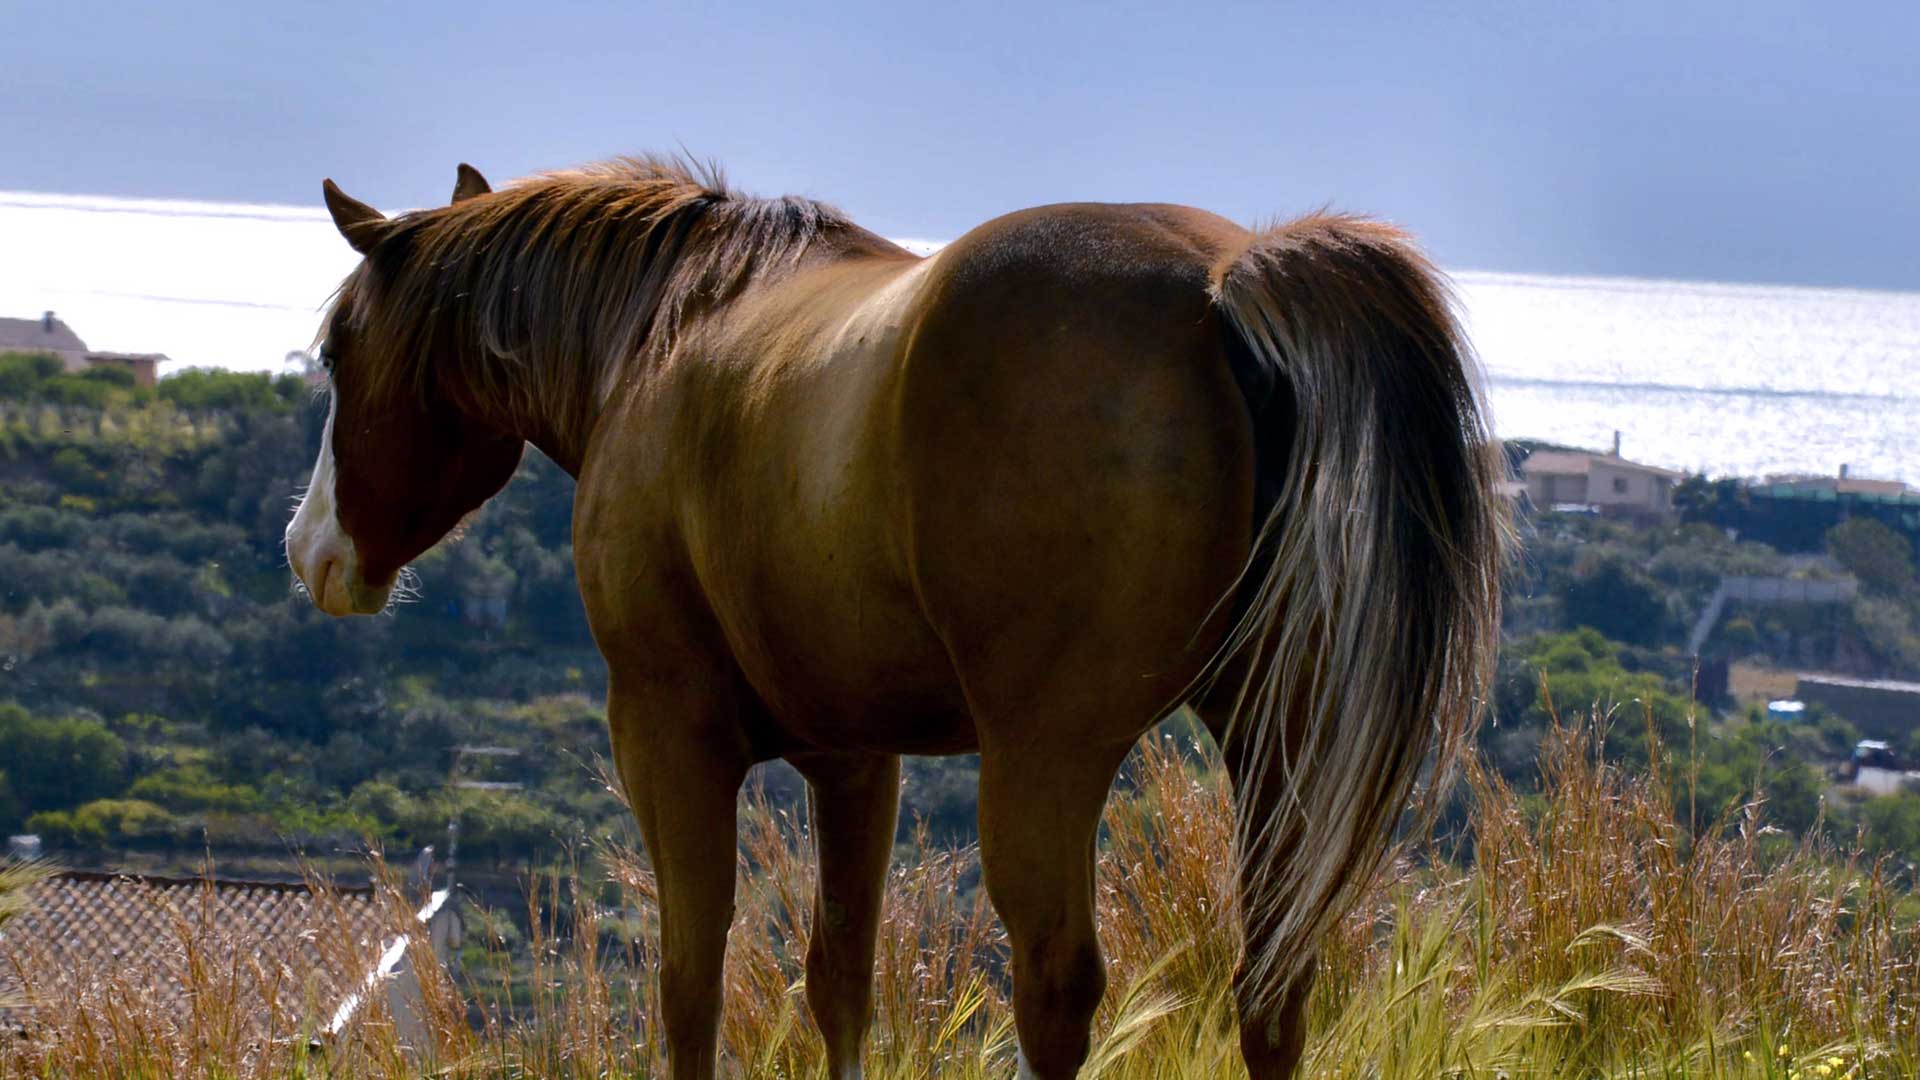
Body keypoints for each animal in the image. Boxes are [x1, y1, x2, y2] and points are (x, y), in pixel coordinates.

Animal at [284, 153, 1505, 1076]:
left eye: (337, 352)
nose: (311, 552)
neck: (668, 328)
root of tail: (1223, 281)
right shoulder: (855, 760)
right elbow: (842, 982)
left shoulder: (668, 736)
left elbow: (689, 982)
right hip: (1276, 741)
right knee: (1273, 983)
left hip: (1048, 758)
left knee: (1057, 988)